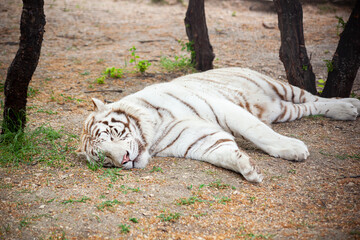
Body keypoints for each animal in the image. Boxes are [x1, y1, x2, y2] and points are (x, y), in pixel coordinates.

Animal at [76, 67, 360, 182]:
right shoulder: (197, 140)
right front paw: (248, 168)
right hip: (283, 111)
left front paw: (292, 148)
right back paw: (347, 109)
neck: (154, 134)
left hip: (281, 87)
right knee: (308, 108)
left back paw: (348, 106)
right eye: (104, 158)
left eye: (114, 134)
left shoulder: (225, 108)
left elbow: (258, 131)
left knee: (314, 98)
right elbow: (224, 153)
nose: (124, 160)